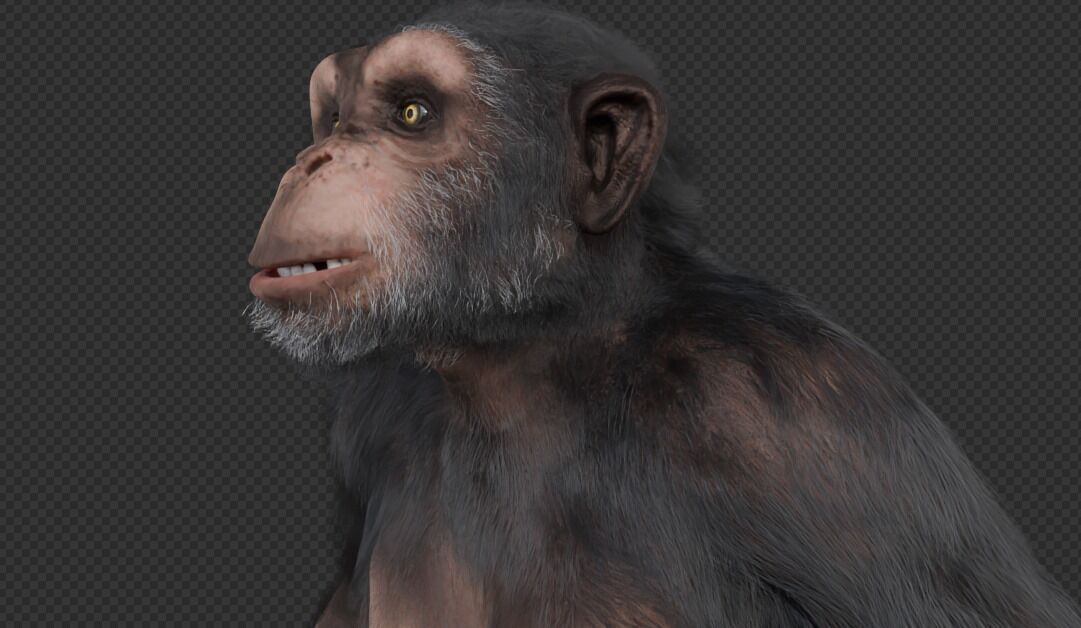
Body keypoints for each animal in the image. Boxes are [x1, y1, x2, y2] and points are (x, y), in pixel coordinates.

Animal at [244, 2, 1081, 626]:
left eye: (410, 112)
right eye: (332, 116)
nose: (311, 159)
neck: (527, 354)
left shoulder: (806, 417)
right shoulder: (370, 411)